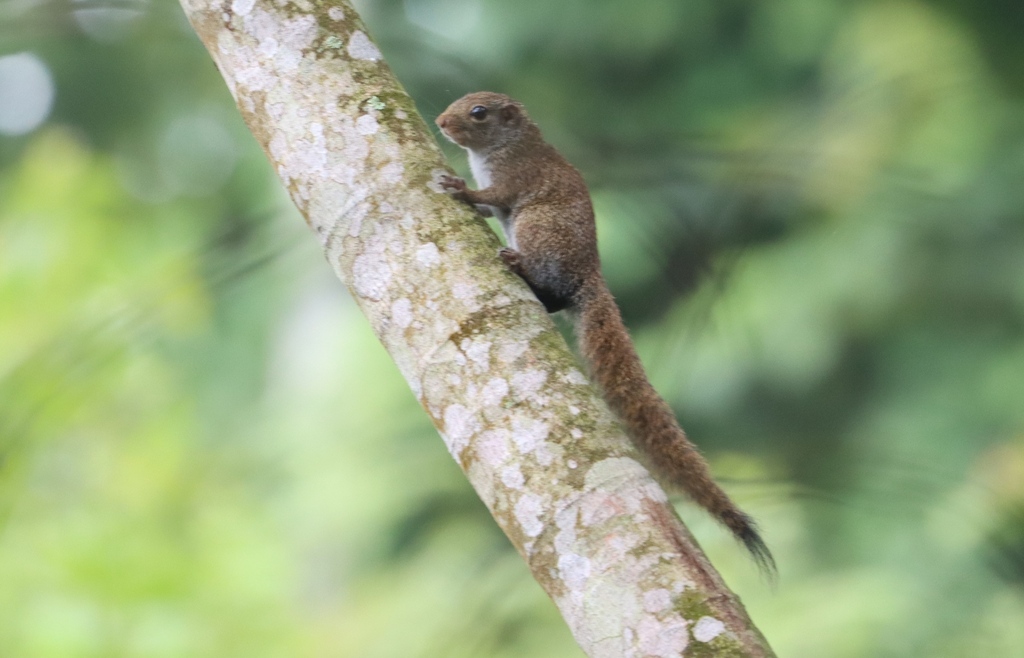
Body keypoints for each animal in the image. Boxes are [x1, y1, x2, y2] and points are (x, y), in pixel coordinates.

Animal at [435, 91, 775, 576]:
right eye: (459, 101)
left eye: (478, 112)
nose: (441, 122)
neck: (501, 147)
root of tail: (589, 278)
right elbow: (486, 207)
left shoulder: (518, 176)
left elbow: (492, 196)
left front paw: (461, 189)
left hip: (537, 226)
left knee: (552, 287)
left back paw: (519, 265)